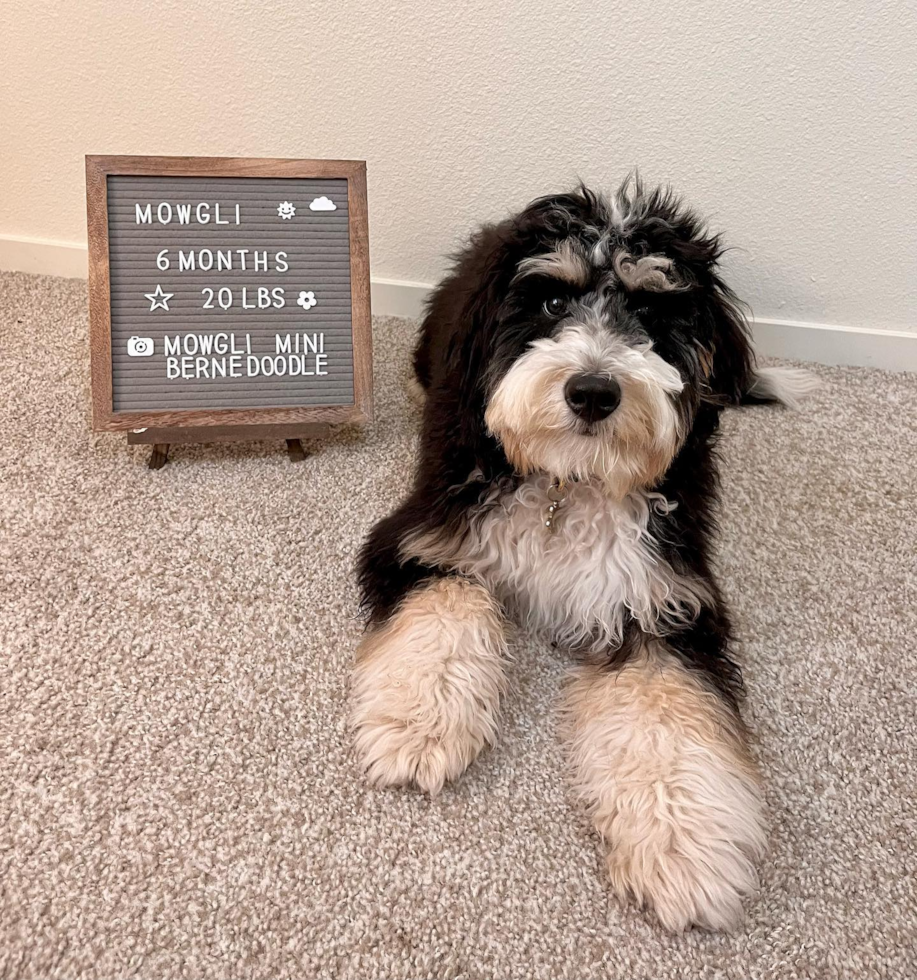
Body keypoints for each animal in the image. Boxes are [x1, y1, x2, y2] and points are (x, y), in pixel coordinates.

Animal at [350, 182, 816, 936]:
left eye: (651, 311)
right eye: (548, 302)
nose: (593, 392)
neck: (567, 481)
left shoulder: (664, 595)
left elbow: (666, 704)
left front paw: (684, 845)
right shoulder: (427, 538)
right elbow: (452, 601)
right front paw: (418, 725)